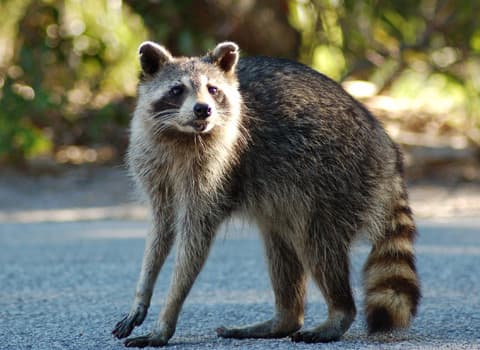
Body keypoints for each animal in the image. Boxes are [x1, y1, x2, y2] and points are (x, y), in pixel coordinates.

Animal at [112, 41, 420, 348]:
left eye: (213, 89)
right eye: (177, 90)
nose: (203, 110)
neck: (182, 134)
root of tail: (387, 147)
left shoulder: (219, 170)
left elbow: (195, 242)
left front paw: (167, 318)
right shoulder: (152, 164)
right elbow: (160, 230)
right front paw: (142, 293)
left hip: (337, 179)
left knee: (317, 244)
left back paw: (338, 313)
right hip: (293, 195)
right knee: (281, 244)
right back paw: (284, 319)